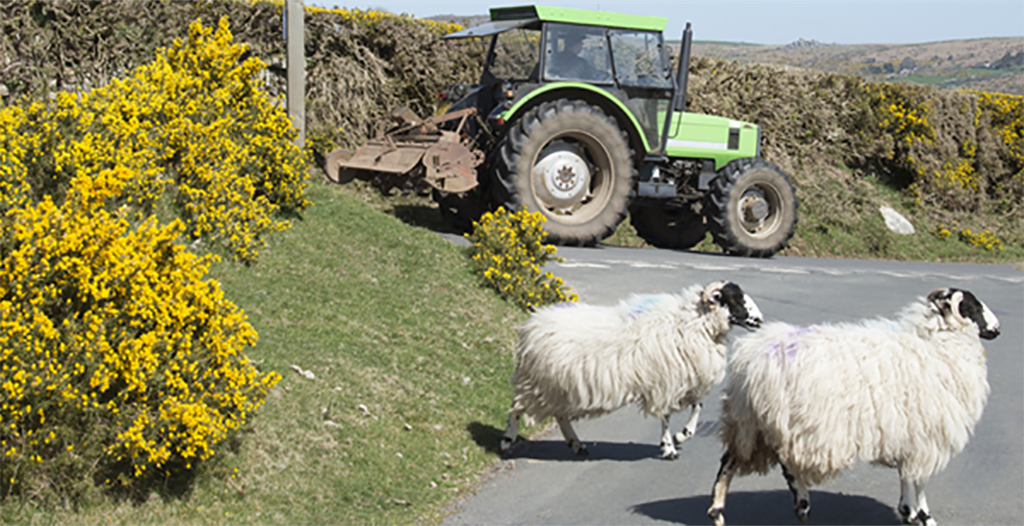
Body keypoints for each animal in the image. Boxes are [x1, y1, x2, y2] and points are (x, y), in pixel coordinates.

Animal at [499, 280, 765, 456]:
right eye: (736, 298)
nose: (760, 320)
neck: (693, 323)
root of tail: (531, 325)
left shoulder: (683, 381)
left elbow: (697, 407)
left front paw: (681, 436)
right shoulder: (665, 382)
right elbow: (666, 415)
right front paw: (668, 447)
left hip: (557, 385)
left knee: (560, 415)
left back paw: (577, 444)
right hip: (538, 382)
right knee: (516, 407)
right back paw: (507, 441)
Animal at [708, 286, 995, 523]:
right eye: (973, 308)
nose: (997, 328)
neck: (937, 344)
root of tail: (750, 357)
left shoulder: (909, 435)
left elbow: (907, 476)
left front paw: (907, 511)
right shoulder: (926, 438)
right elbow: (919, 479)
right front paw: (923, 516)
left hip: (749, 422)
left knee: (729, 462)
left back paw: (718, 510)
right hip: (791, 422)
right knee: (787, 463)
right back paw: (802, 503)